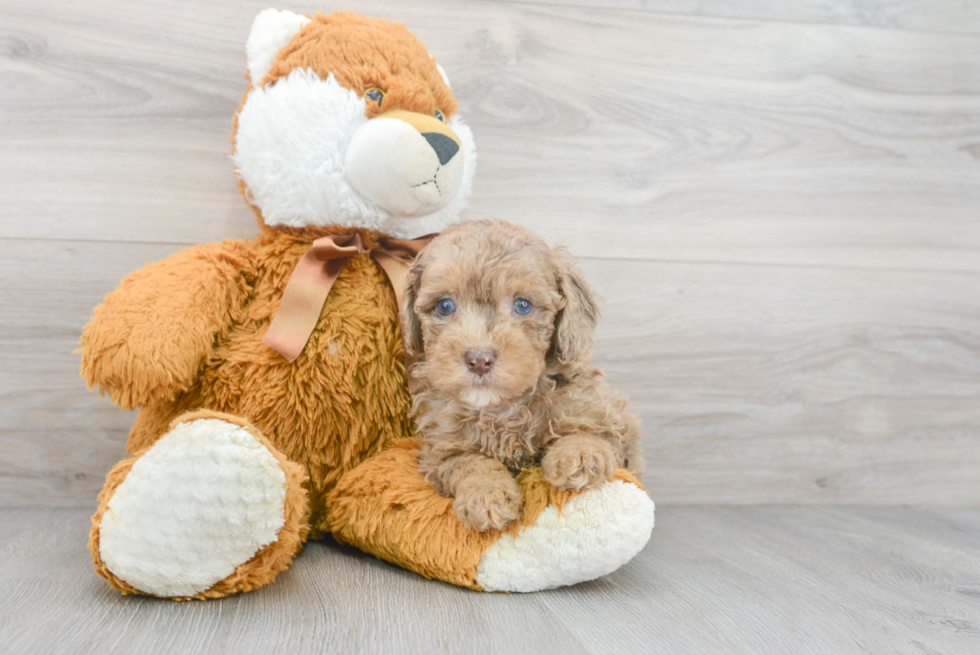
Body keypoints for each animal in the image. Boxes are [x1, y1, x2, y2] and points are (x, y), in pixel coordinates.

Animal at [406, 220, 644, 532]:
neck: (504, 407)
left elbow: (590, 432)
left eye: (522, 305)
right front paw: (486, 494)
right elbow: (469, 463)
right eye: (445, 306)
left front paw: (578, 456)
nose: (479, 359)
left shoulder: (601, 414)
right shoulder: (442, 448)